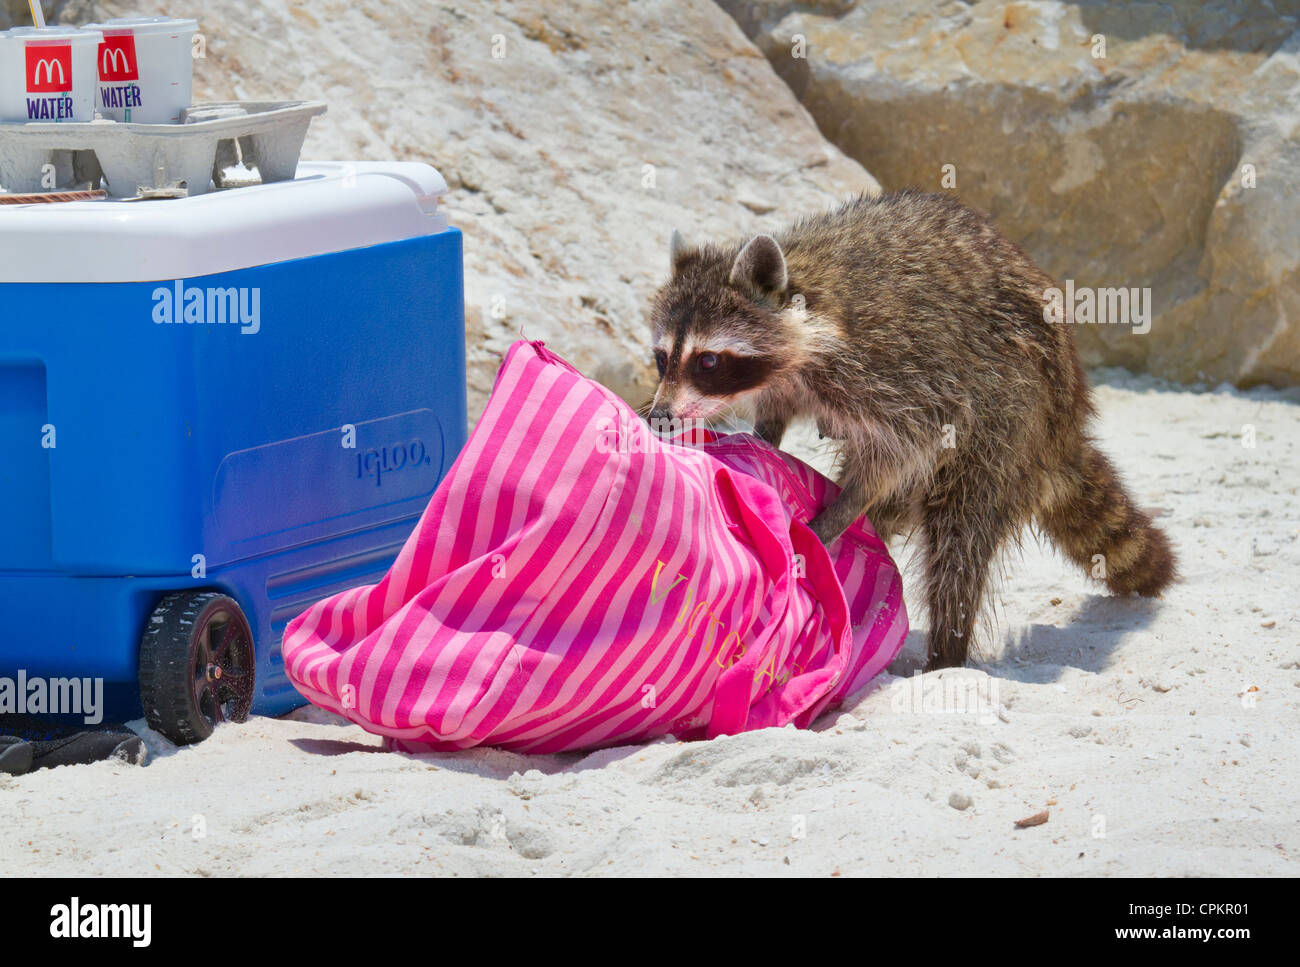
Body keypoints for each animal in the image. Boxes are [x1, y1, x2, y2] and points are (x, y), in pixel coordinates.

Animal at [650, 191, 1180, 670]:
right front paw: (764, 438)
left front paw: (837, 513)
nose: (658, 416)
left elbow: (908, 445)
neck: (805, 297)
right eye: (661, 357)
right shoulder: (793, 378)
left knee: (959, 539)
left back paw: (945, 654)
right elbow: (781, 410)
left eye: (708, 361)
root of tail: (1065, 427)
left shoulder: (895, 367)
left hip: (1008, 423)